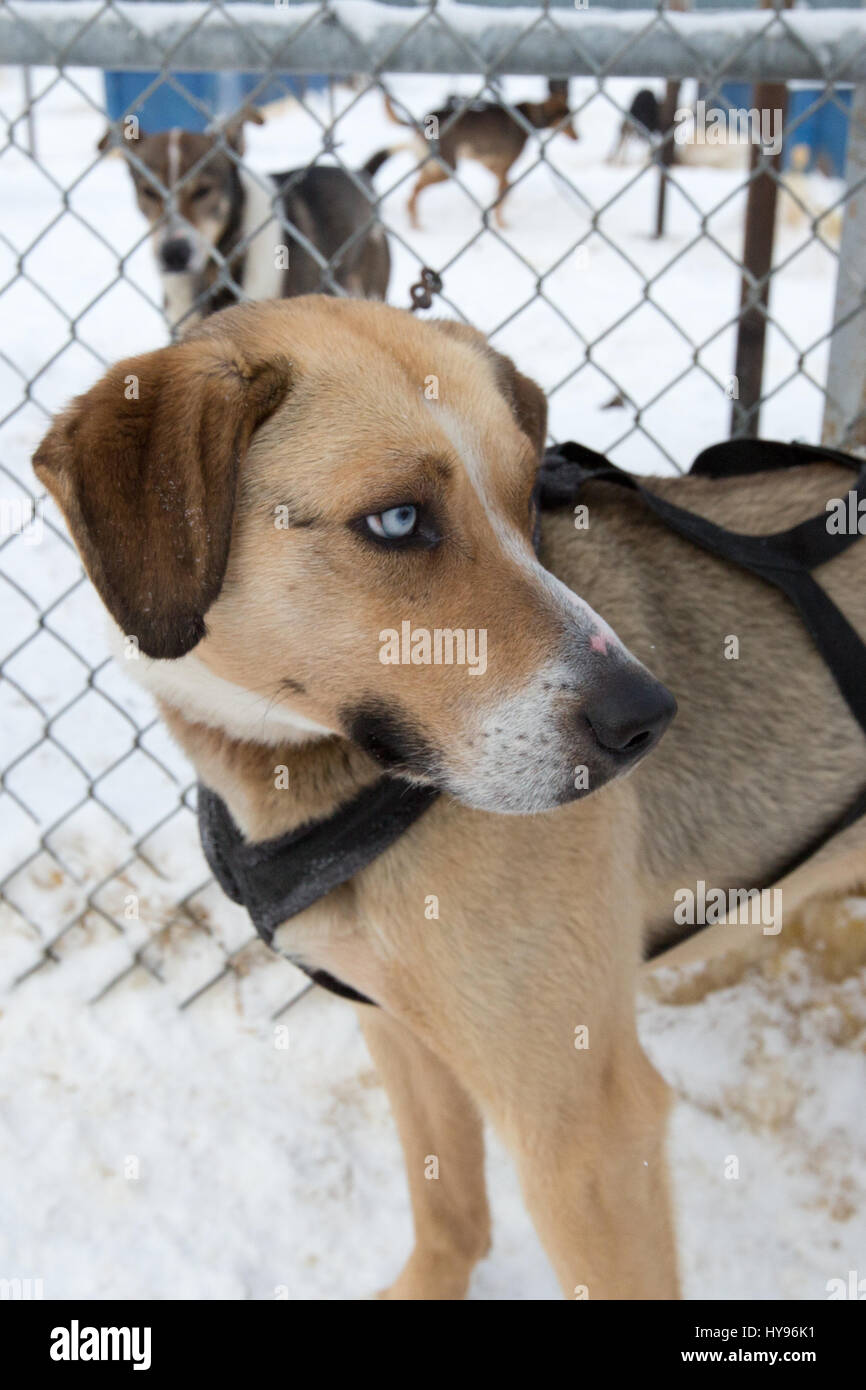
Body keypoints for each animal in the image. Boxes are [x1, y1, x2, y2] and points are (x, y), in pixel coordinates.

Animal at [32, 296, 866, 1301]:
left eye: (526, 498)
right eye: (397, 520)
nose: (648, 720)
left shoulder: (583, 1126)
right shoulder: (395, 1025)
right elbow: (448, 1209)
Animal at [383, 80, 575, 229]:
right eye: (569, 121)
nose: (578, 137)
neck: (530, 117)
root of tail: (419, 121)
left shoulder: (492, 166)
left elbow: (506, 188)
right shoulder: (503, 168)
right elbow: (502, 194)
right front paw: (502, 224)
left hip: (434, 166)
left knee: (413, 190)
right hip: (448, 168)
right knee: (414, 190)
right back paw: (416, 225)